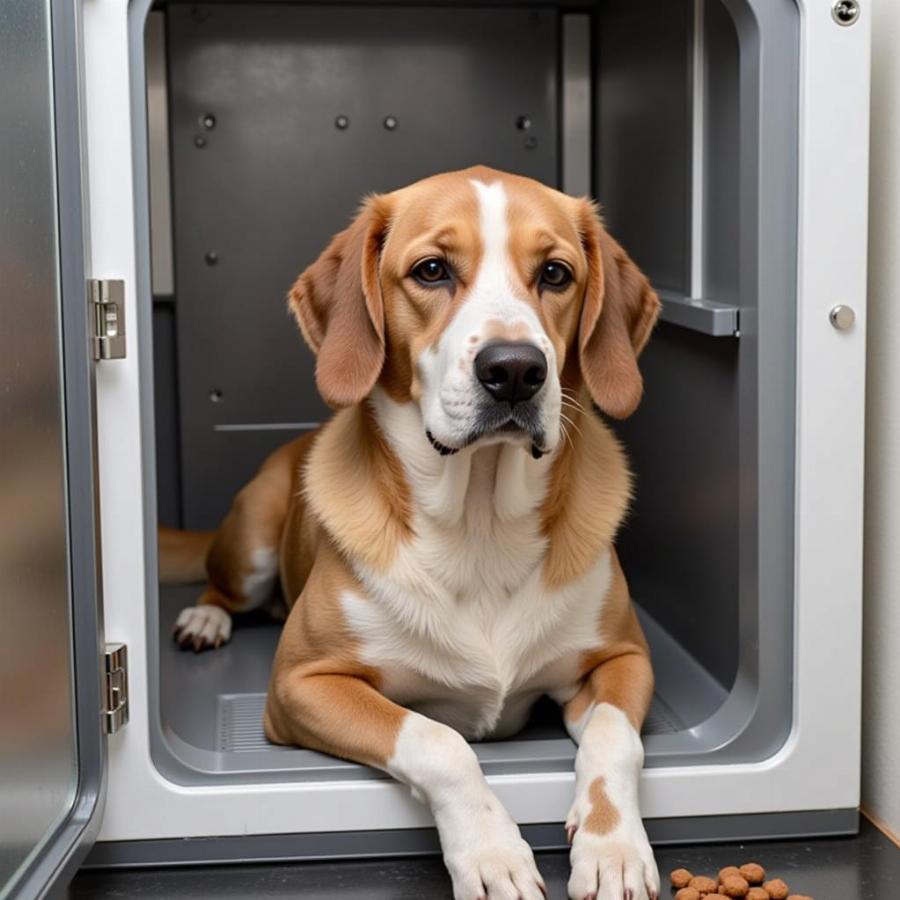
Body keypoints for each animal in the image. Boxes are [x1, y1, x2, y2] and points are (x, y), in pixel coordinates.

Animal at [163, 165, 660, 896]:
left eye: (556, 273)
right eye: (431, 270)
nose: (515, 370)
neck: (480, 520)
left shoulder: (624, 659)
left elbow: (615, 738)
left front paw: (613, 844)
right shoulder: (302, 684)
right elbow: (437, 740)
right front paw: (491, 852)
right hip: (251, 540)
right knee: (222, 589)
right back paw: (206, 619)